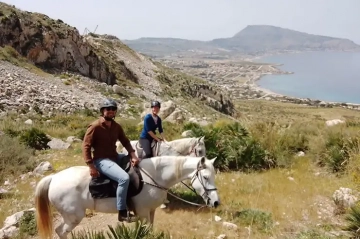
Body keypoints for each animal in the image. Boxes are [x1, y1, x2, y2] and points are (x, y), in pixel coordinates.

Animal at [34, 155, 219, 239]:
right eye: (206, 177)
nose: (216, 202)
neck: (154, 176)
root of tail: (53, 178)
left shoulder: (150, 212)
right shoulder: (143, 214)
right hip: (73, 217)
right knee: (61, 231)